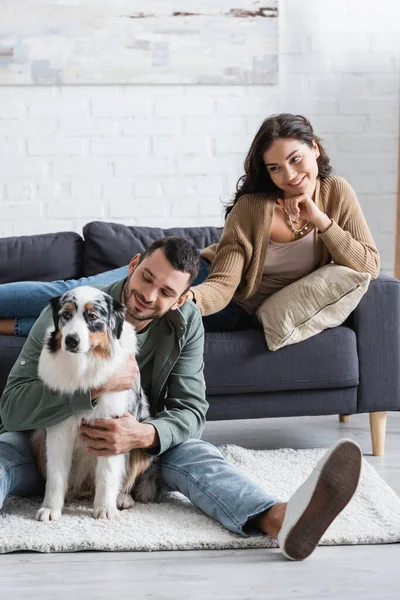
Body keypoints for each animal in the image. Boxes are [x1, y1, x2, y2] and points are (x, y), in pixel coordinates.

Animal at [32, 286, 159, 520]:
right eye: (66, 315)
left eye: (92, 317)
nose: (71, 340)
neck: (84, 364)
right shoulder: (59, 430)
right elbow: (56, 475)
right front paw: (51, 509)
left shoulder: (113, 429)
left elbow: (108, 475)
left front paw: (105, 510)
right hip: (38, 437)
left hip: (142, 439)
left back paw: (122, 499)